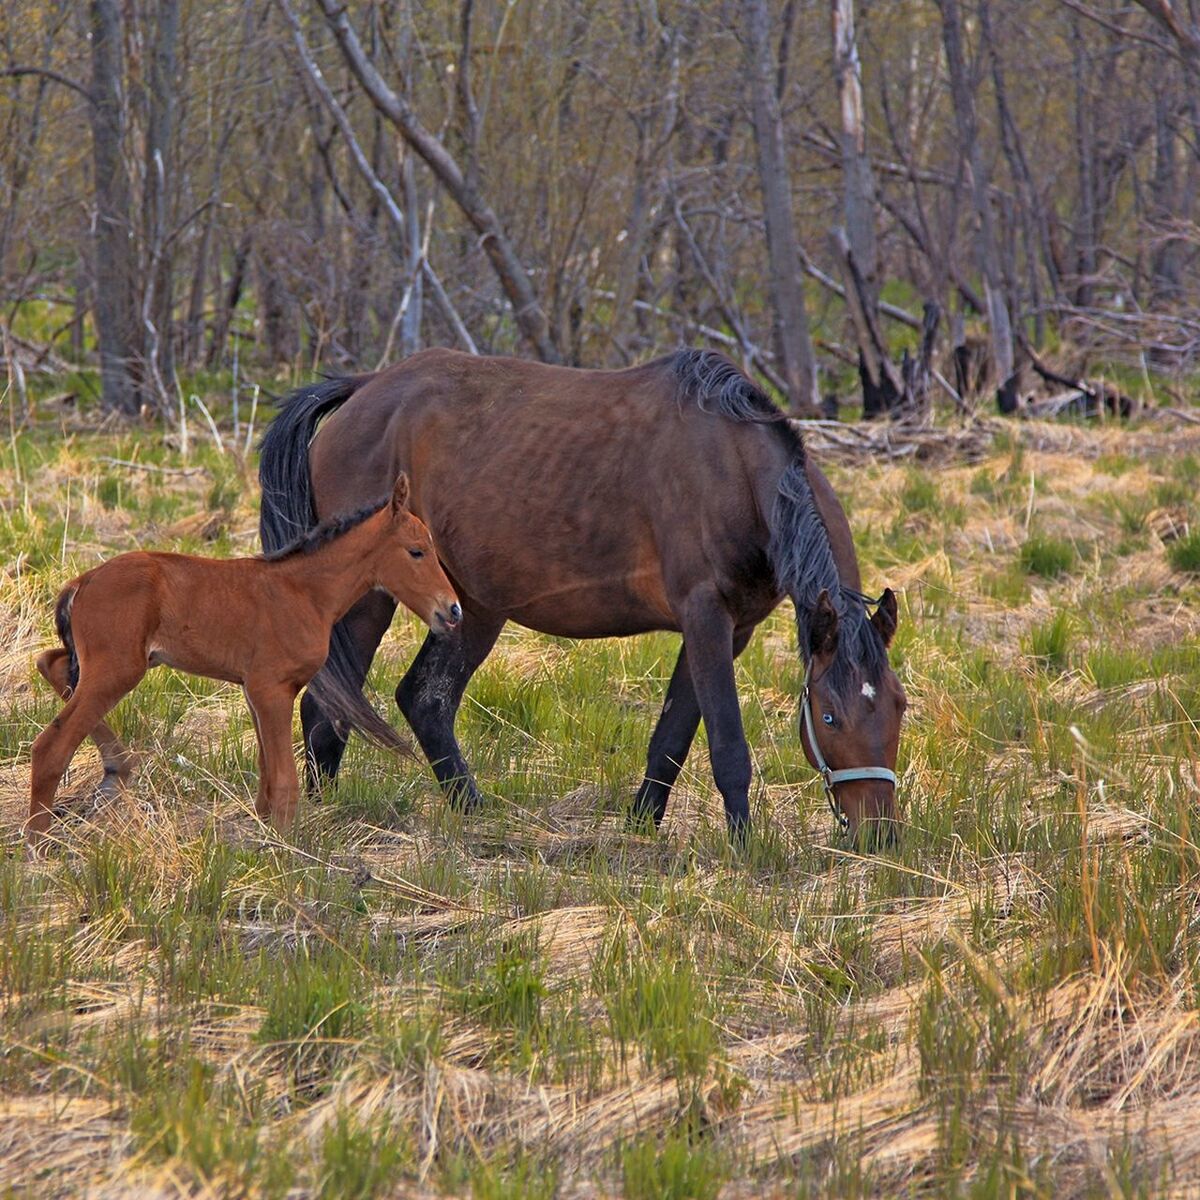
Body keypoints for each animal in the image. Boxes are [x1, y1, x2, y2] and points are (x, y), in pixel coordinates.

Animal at [29, 472, 458, 849]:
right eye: (417, 551)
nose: (452, 610)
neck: (305, 592)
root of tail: (82, 581)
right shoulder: (272, 688)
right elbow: (284, 781)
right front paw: (286, 853)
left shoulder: (254, 691)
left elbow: (267, 780)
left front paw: (266, 836)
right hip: (118, 668)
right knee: (51, 745)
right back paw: (39, 843)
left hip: (111, 663)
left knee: (50, 662)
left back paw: (116, 767)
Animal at [258, 348, 902, 844]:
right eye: (828, 714)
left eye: (899, 706)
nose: (878, 835)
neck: (736, 472)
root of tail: (364, 388)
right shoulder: (706, 618)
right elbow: (726, 745)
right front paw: (744, 849)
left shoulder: (730, 629)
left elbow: (672, 736)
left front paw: (642, 827)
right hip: (370, 597)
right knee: (327, 704)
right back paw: (322, 816)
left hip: (473, 606)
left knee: (425, 698)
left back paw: (474, 813)